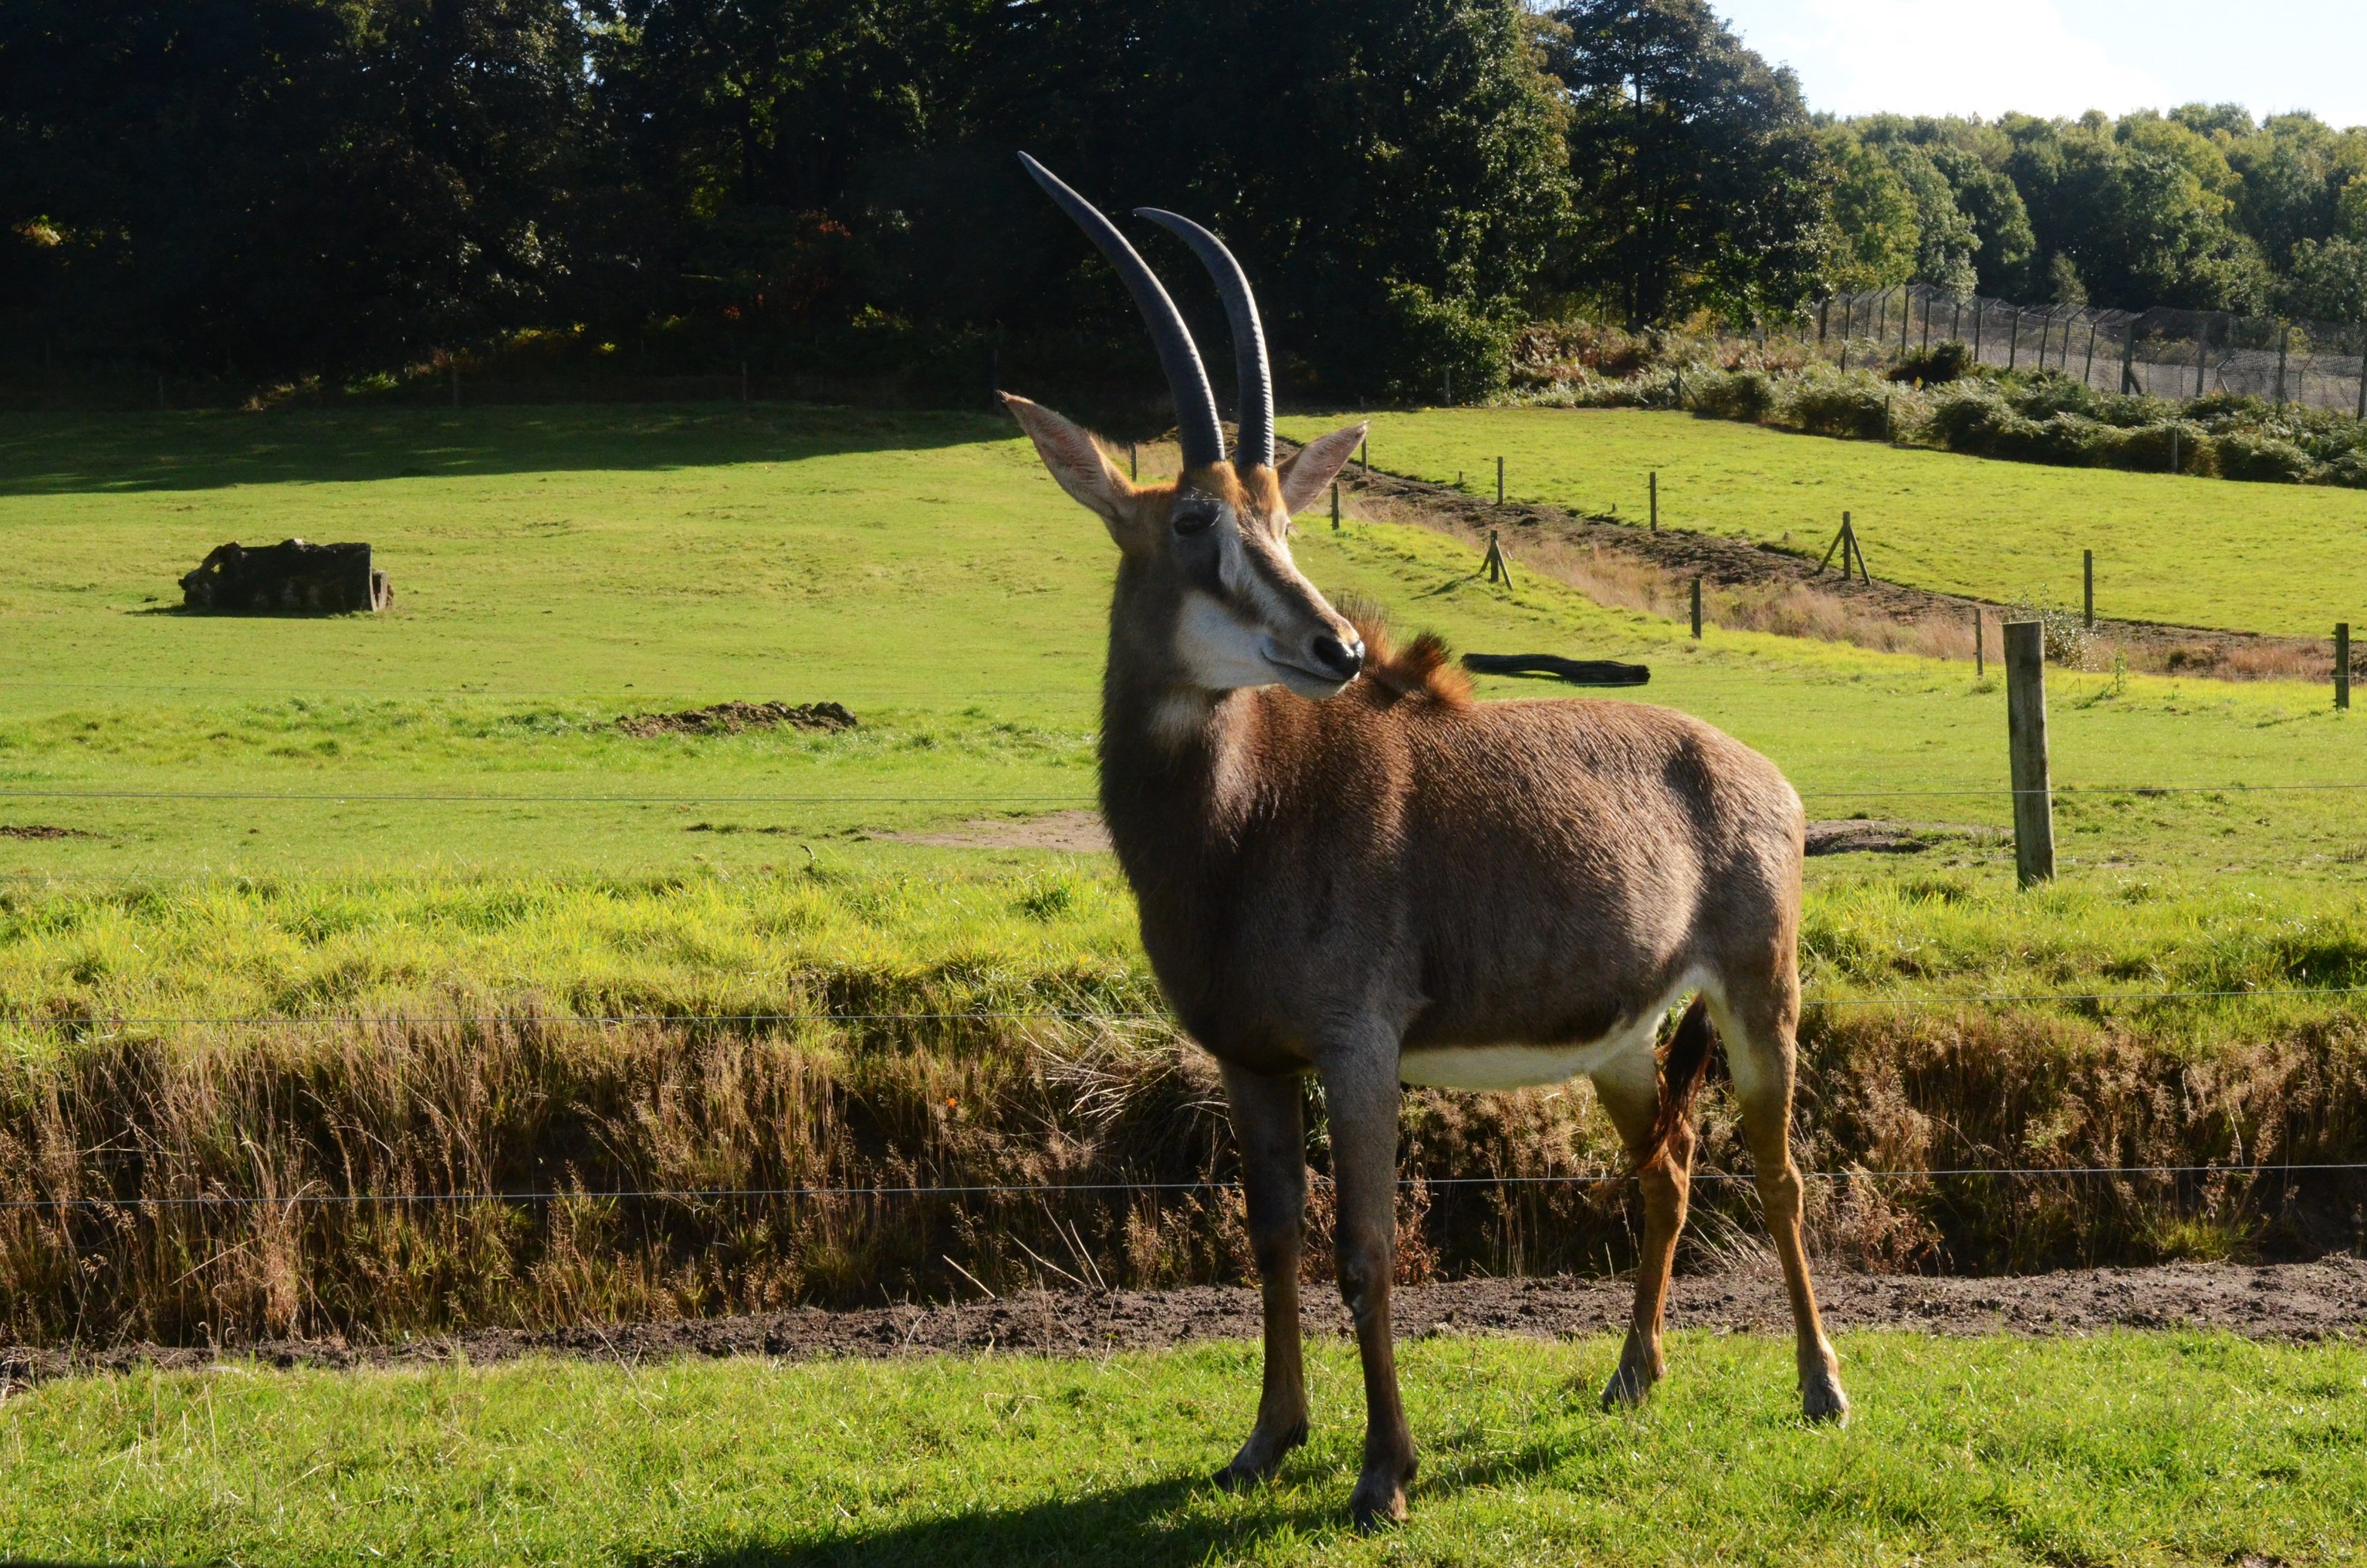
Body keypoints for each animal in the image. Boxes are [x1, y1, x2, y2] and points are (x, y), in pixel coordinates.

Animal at [1002, 154, 1848, 1529]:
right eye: (1191, 524)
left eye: (1286, 518)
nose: (1337, 648)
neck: (1242, 823)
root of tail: (1760, 774)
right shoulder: (1247, 1058)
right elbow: (1271, 1235)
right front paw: (1265, 1441)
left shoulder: (1360, 1050)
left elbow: (1365, 1247)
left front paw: (1381, 1474)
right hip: (1622, 1042)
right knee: (1665, 1170)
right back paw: (1630, 1378)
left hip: (1757, 996)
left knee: (1777, 1174)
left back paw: (1823, 1389)